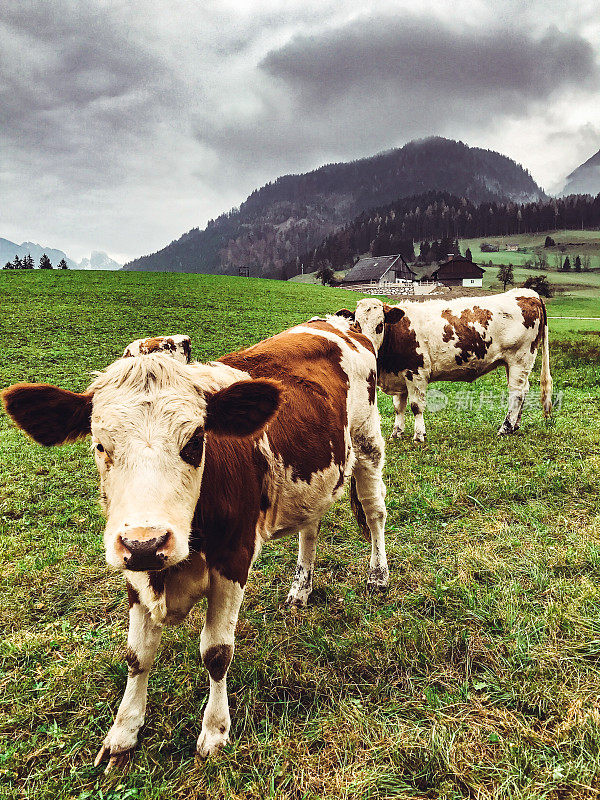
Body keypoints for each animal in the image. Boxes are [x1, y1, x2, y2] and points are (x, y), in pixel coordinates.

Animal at [2, 318, 386, 768]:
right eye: (100, 444)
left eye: (195, 441)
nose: (147, 543)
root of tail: (336, 323)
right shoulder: (134, 569)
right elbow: (137, 654)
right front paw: (124, 731)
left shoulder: (233, 557)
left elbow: (216, 652)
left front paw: (215, 730)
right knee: (310, 527)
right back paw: (300, 589)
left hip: (368, 444)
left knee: (375, 511)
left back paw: (378, 575)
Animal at [336, 288, 552, 440]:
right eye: (356, 324)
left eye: (380, 325)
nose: (367, 346)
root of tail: (528, 294)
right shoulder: (399, 374)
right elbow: (399, 406)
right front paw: (397, 432)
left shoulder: (416, 372)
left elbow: (416, 406)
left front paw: (419, 435)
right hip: (515, 362)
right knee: (524, 390)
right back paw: (515, 425)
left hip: (520, 357)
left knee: (516, 393)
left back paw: (505, 428)